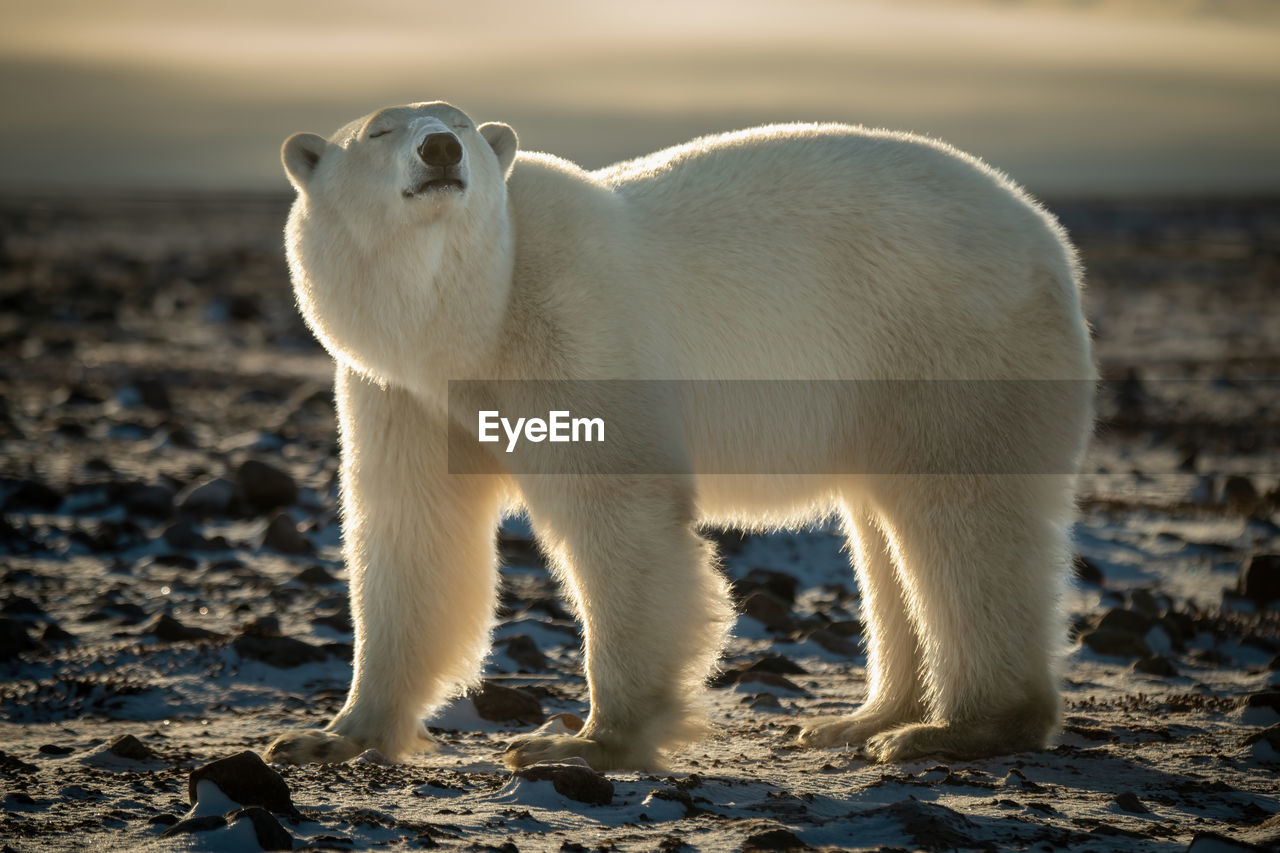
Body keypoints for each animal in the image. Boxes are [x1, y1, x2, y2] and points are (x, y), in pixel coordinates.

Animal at [264, 101, 1095, 768]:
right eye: (380, 130)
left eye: (461, 123)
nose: (440, 150)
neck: (473, 321)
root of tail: (1049, 234)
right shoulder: (399, 392)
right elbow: (411, 535)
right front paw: (329, 734)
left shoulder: (572, 327)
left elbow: (621, 513)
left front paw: (584, 740)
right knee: (885, 525)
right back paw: (862, 719)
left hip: (946, 338)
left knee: (960, 514)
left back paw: (955, 727)